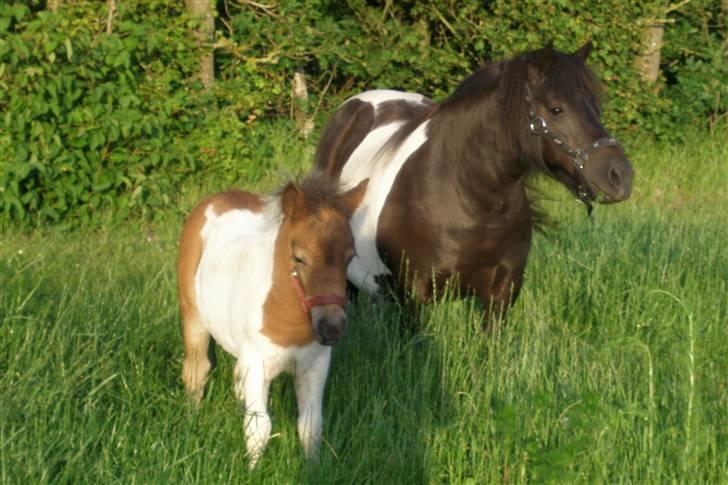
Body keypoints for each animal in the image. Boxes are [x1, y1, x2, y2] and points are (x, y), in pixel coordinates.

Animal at [177, 174, 370, 466]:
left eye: (350, 257)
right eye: (299, 258)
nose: (332, 327)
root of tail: (215, 198)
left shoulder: (315, 365)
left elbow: (310, 426)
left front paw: (312, 468)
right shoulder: (256, 363)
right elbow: (259, 428)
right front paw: (251, 469)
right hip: (194, 319)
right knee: (196, 370)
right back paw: (193, 420)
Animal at [316, 43, 636, 320]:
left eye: (596, 107)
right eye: (557, 109)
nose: (620, 176)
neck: (471, 202)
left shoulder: (501, 294)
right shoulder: (413, 299)